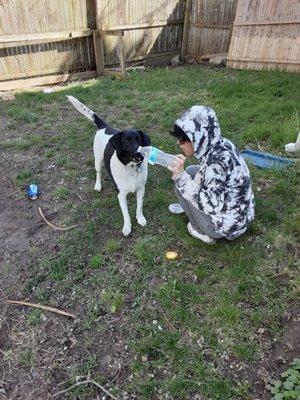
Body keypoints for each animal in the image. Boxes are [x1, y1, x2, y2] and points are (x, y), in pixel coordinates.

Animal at [66, 95, 149, 236]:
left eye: (139, 140)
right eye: (127, 142)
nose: (139, 154)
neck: (131, 168)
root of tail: (105, 127)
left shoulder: (141, 188)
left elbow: (139, 207)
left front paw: (140, 218)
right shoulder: (121, 194)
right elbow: (126, 213)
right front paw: (127, 227)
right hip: (97, 160)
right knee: (98, 172)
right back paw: (98, 185)